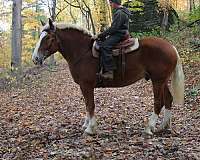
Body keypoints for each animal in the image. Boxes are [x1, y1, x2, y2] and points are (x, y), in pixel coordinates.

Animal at [32, 19, 184, 136]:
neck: (82, 51)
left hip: (157, 81)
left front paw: (90, 128)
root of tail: (171, 47)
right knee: (168, 99)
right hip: (162, 81)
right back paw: (164, 126)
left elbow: (90, 104)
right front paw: (86, 124)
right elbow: (87, 104)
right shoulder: (84, 86)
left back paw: (149, 128)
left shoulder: (86, 85)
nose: (35, 59)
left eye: (47, 38)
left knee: (158, 102)